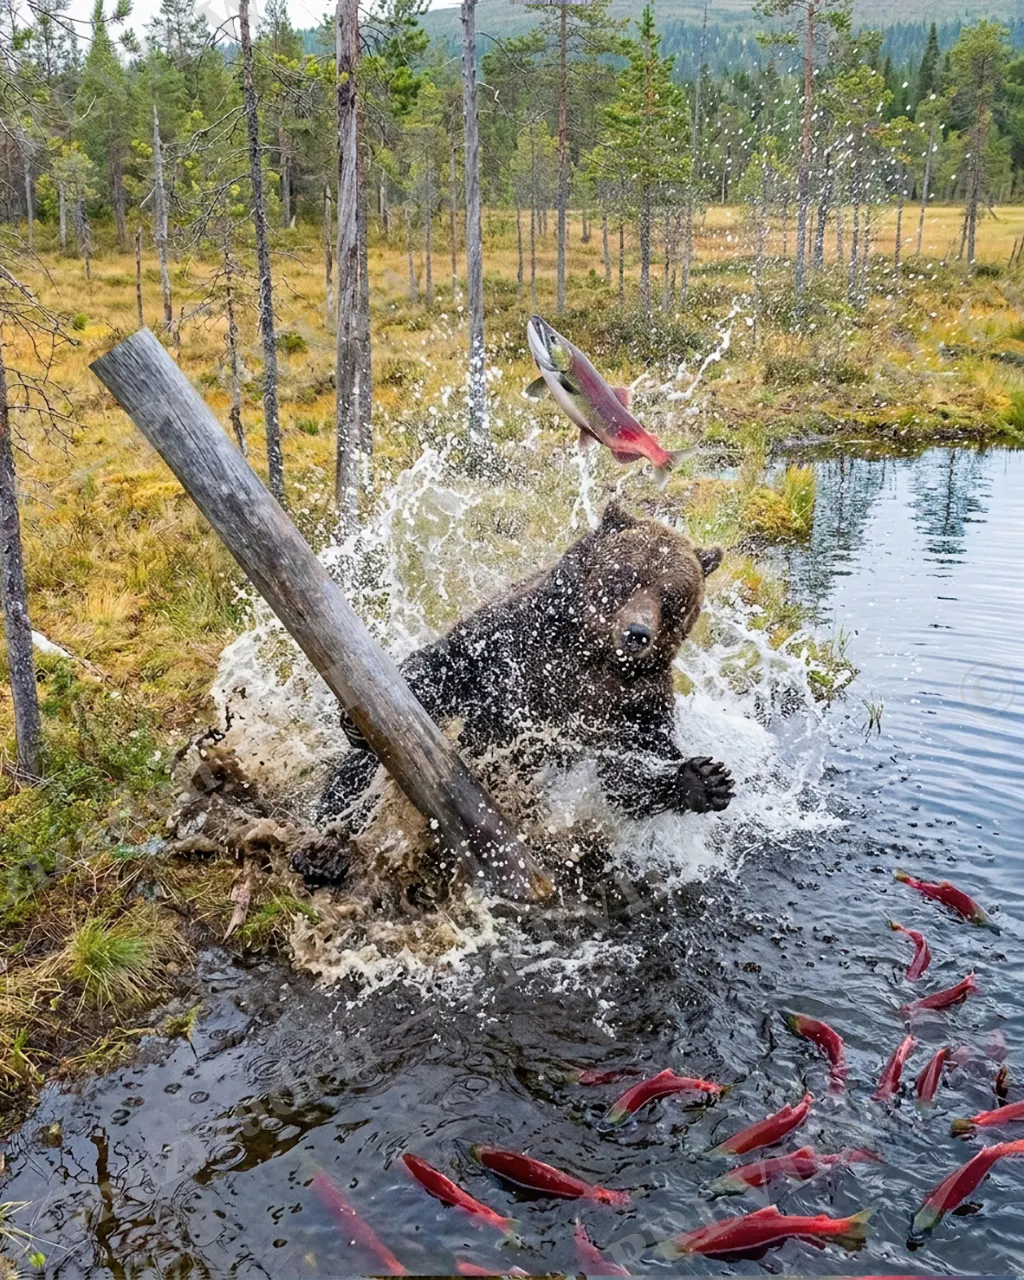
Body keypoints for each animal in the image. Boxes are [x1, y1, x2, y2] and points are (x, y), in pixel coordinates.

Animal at [303, 501, 733, 881]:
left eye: (671, 597)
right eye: (626, 577)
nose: (637, 633)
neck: (591, 658)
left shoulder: (632, 704)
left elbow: (627, 772)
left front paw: (704, 778)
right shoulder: (512, 637)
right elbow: (444, 666)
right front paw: (353, 722)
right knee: (358, 774)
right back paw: (324, 849)